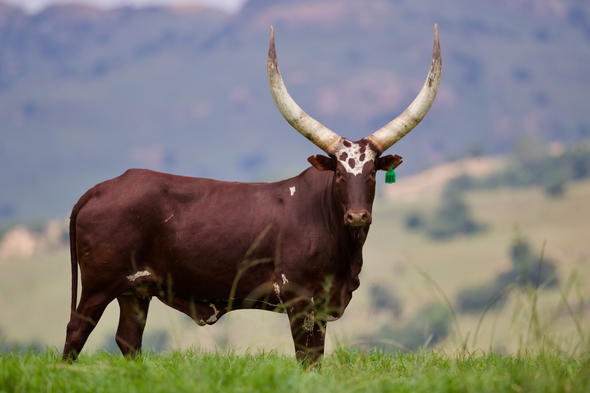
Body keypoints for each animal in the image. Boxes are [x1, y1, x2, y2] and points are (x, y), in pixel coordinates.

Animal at [63, 25, 444, 364]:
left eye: (371, 174)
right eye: (338, 173)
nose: (357, 216)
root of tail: (102, 188)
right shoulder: (299, 301)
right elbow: (307, 359)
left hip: (135, 291)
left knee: (128, 339)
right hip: (98, 285)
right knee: (76, 331)